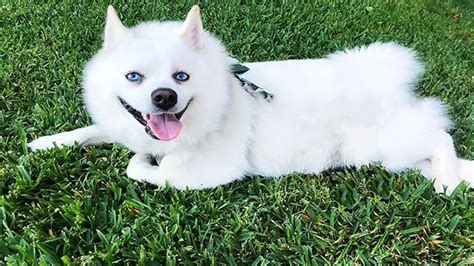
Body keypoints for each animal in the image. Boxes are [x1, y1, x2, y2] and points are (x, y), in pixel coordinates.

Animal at [27, 5, 472, 194]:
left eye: (181, 77)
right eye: (133, 77)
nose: (165, 97)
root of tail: (383, 78)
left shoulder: (206, 173)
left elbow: (146, 170)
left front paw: (141, 160)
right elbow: (90, 130)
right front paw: (47, 143)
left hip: (386, 146)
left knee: (442, 138)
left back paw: (447, 183)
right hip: (387, 156)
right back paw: (449, 177)